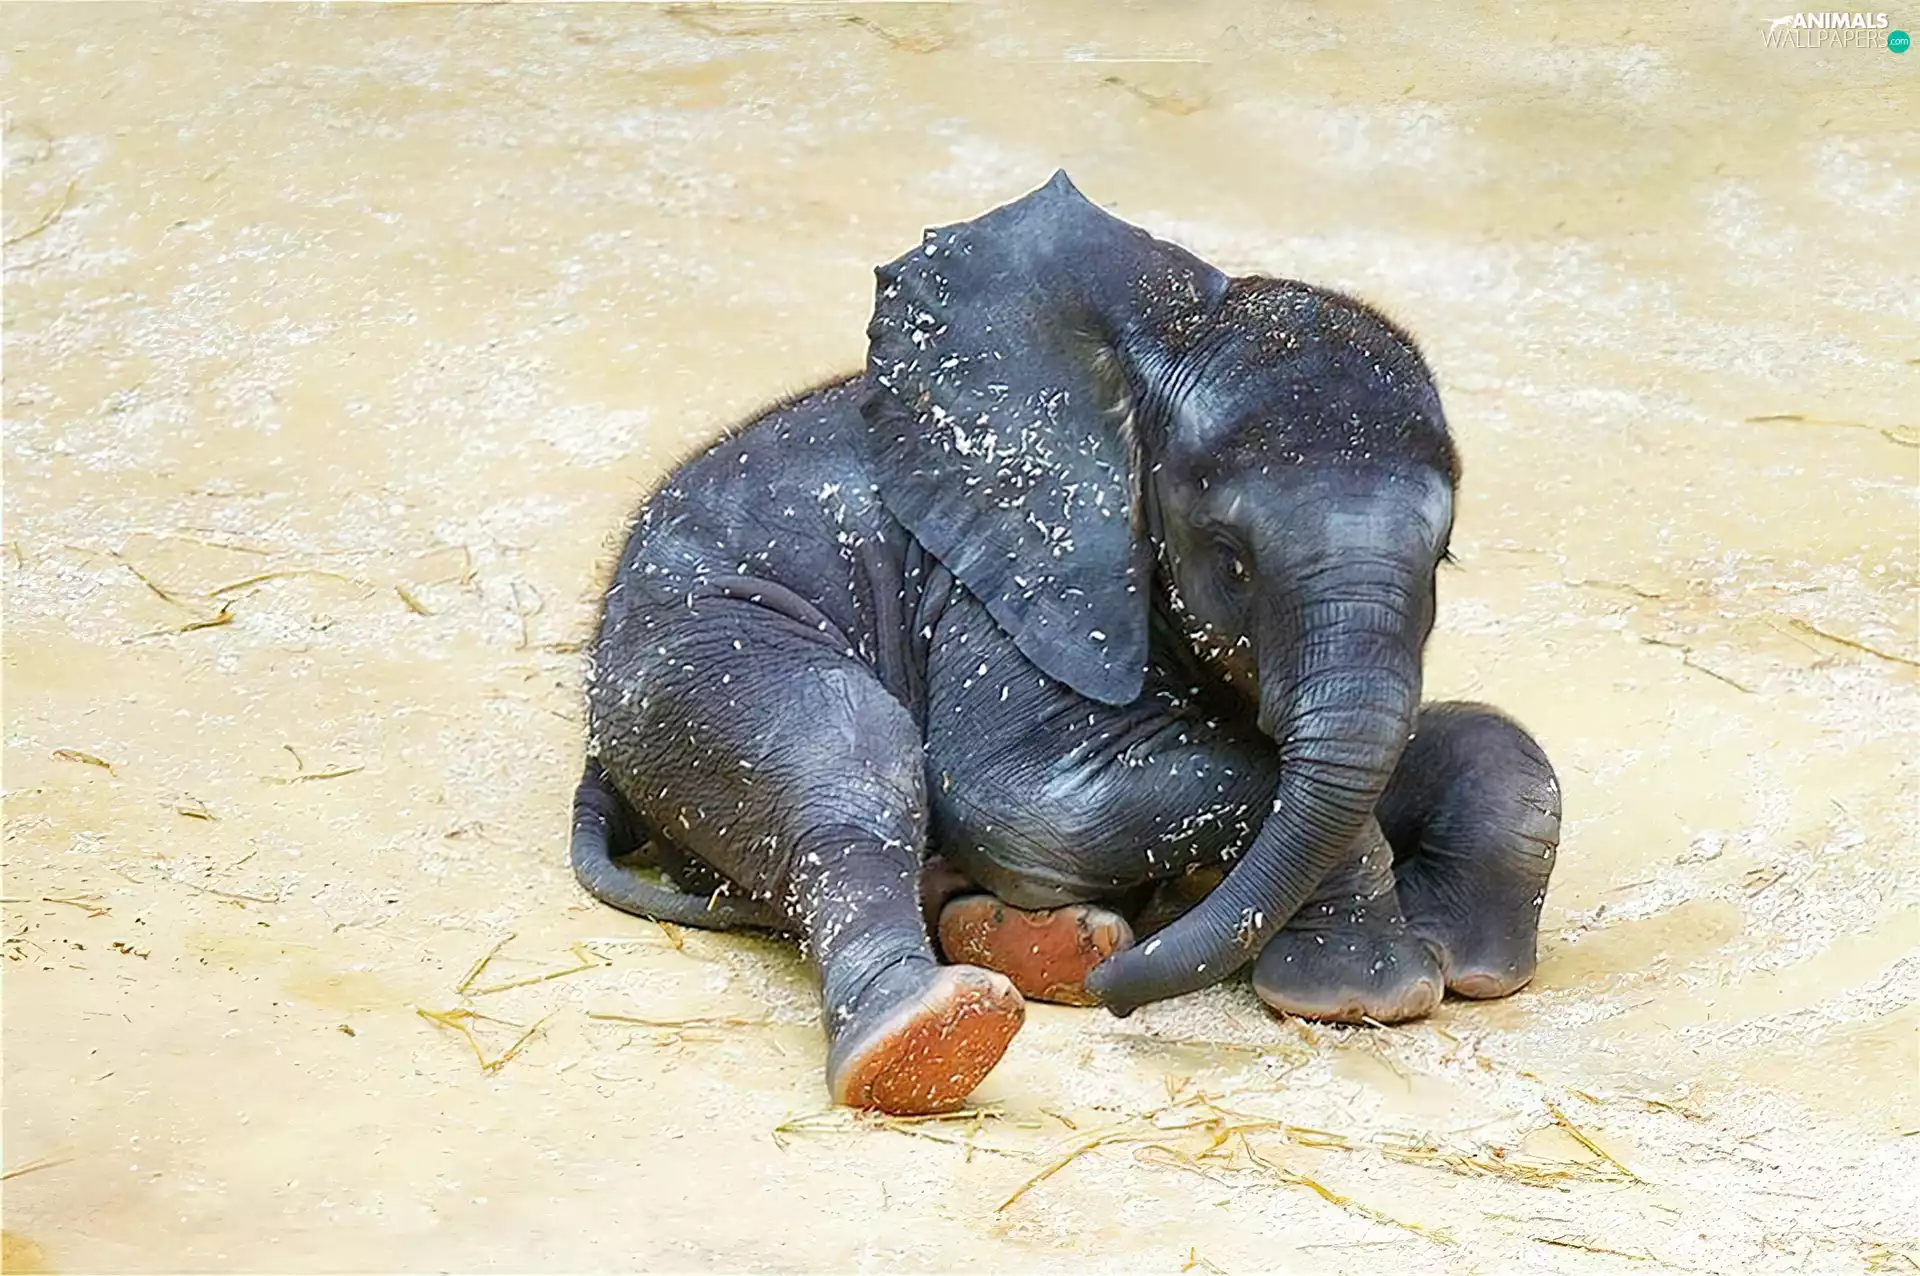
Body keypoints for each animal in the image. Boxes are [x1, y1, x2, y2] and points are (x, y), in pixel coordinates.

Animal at [571, 173, 1561, 1115]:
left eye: (1441, 561)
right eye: (1233, 562)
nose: (1120, 1000)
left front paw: (1462, 962)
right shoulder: (1002, 591)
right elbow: (1031, 800)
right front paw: (1359, 992)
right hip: (693, 647)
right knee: (849, 751)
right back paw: (948, 1026)